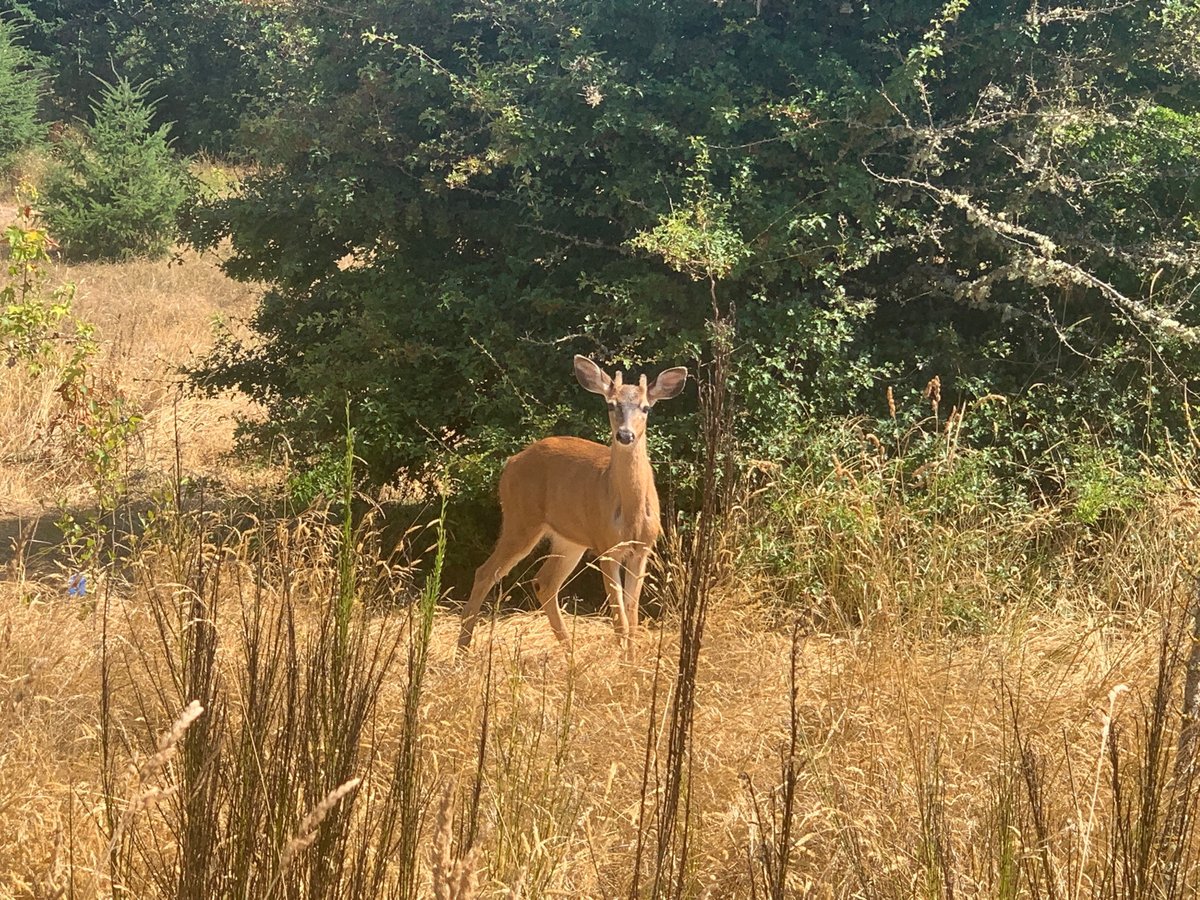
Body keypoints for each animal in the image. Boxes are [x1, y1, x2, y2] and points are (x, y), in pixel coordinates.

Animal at [458, 355, 688, 650]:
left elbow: (633, 616)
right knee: (486, 572)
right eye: (611, 404)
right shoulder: (606, 546)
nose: (625, 435)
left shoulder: (643, 548)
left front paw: (631, 658)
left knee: (544, 581)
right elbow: (620, 620)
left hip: (569, 539)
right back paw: (463, 649)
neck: (631, 515)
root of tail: (511, 462)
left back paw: (569, 650)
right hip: (520, 519)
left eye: (646, 407)